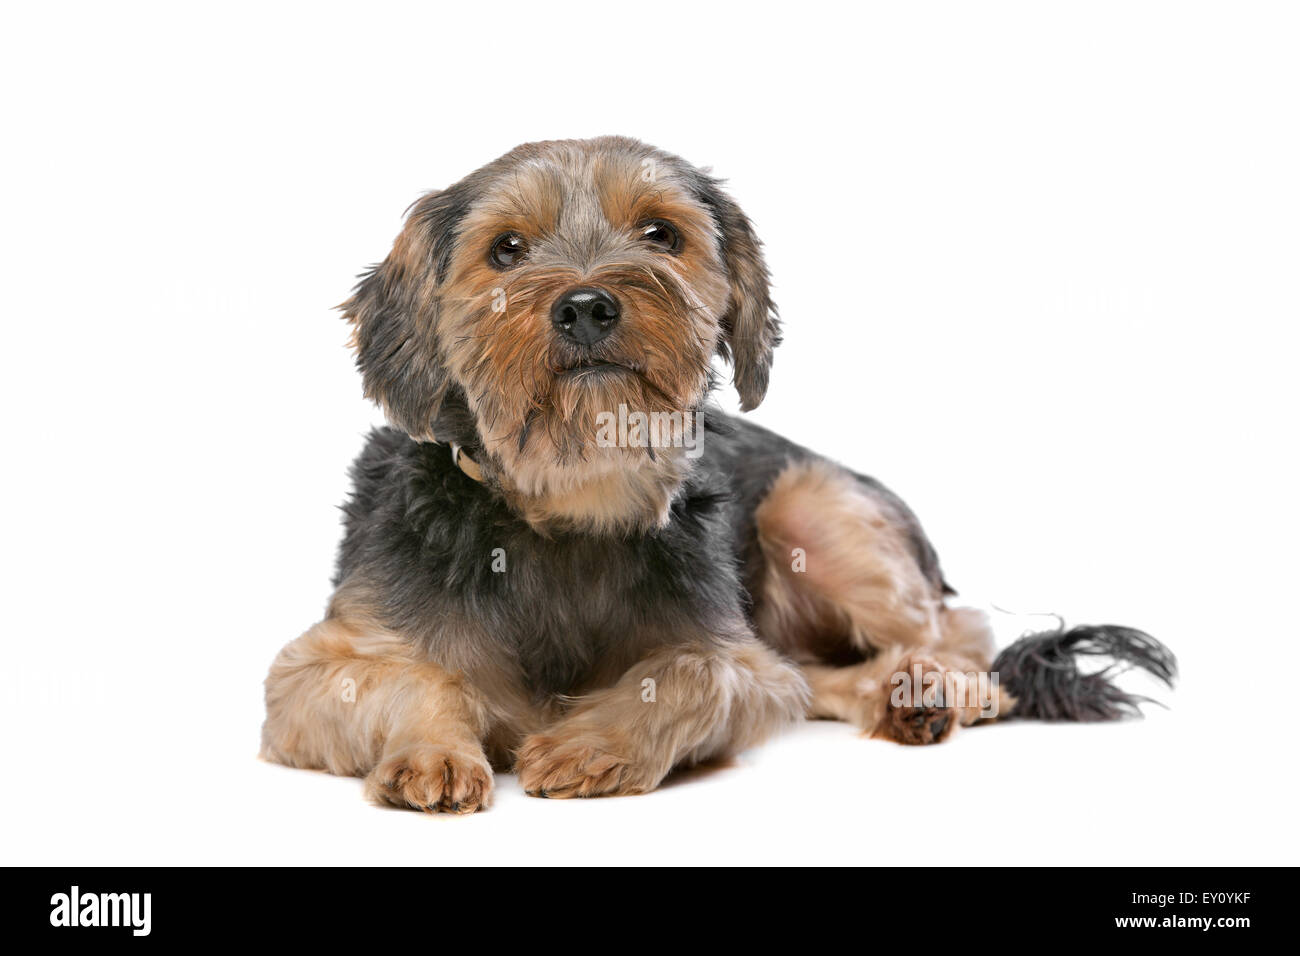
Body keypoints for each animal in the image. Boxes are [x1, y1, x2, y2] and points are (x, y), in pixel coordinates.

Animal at [258, 134, 1175, 811]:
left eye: (661, 234)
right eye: (506, 250)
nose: (586, 305)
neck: (563, 500)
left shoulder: (736, 659)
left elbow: (696, 673)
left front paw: (594, 741)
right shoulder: (314, 677)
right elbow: (416, 677)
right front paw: (435, 752)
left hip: (810, 504)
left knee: (961, 637)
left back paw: (933, 689)